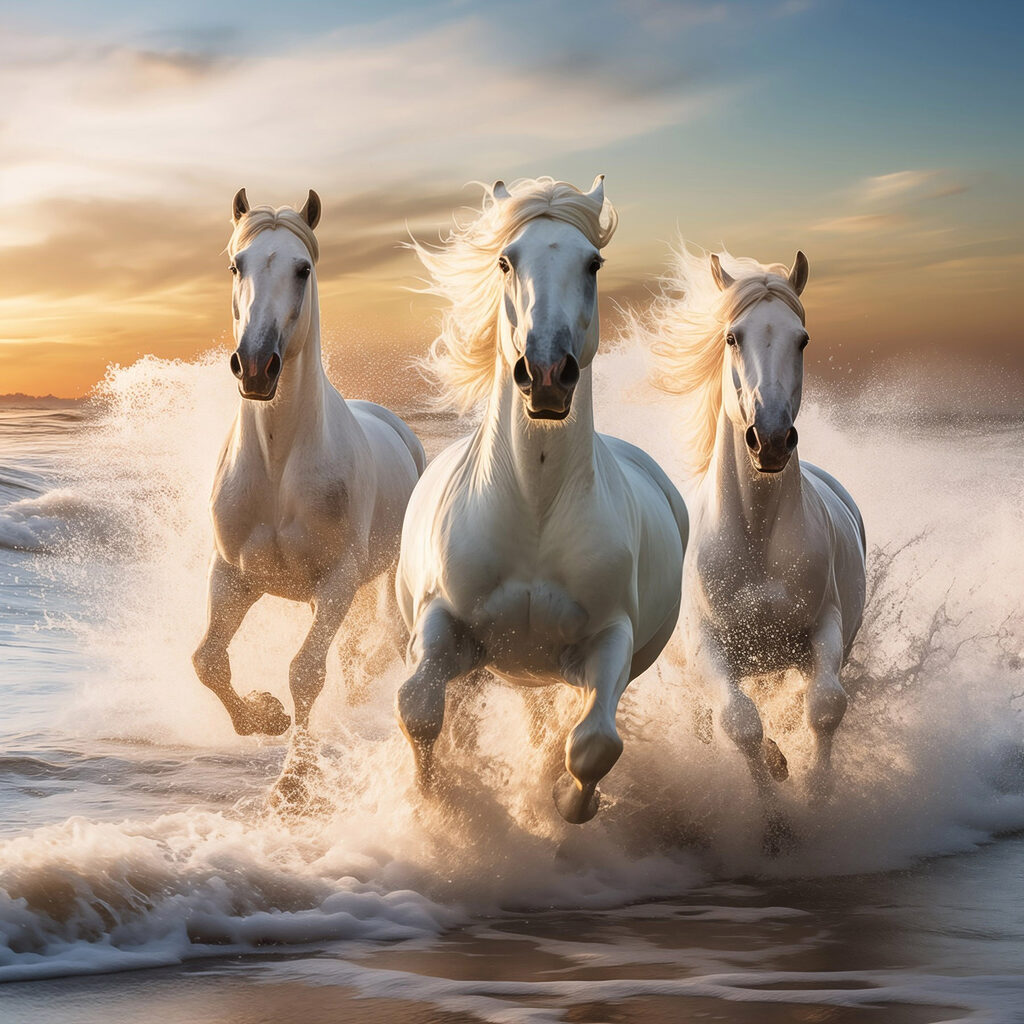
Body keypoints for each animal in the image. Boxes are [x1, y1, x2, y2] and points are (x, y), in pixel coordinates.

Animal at [192, 188, 425, 805]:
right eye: (237, 266)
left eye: (303, 269)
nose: (255, 365)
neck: (279, 469)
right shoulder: (233, 575)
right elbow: (208, 660)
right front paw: (264, 716)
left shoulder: (336, 582)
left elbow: (304, 673)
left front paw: (294, 782)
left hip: (376, 583)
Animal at [394, 176, 688, 824]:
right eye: (506, 260)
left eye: (593, 263)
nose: (548, 373)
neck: (534, 510)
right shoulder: (441, 620)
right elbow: (419, 705)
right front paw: (440, 802)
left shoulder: (611, 639)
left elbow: (594, 742)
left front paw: (565, 799)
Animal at [648, 244, 866, 852]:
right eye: (732, 336)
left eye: (803, 339)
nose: (769, 439)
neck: (758, 535)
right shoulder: (709, 649)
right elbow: (740, 723)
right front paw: (774, 826)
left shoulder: (823, 627)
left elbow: (824, 705)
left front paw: (816, 796)